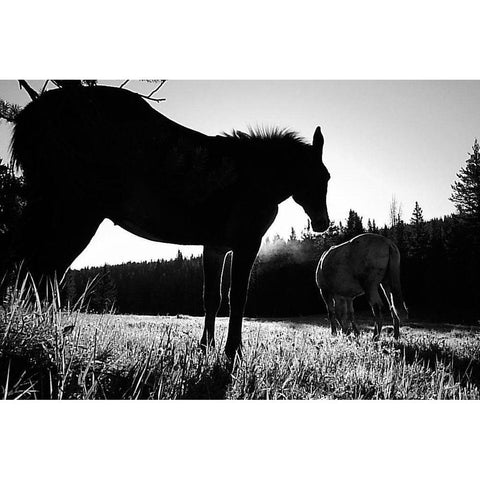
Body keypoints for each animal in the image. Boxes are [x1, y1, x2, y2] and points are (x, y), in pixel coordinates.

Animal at [8, 84, 330, 358]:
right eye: (323, 177)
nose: (322, 223)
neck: (258, 176)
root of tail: (31, 114)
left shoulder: (216, 246)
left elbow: (212, 297)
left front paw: (206, 346)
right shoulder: (247, 242)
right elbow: (237, 296)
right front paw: (232, 351)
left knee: (28, 268)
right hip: (75, 212)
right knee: (43, 271)